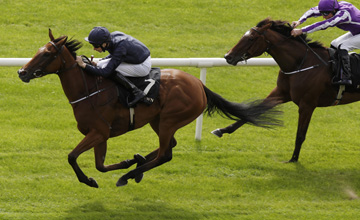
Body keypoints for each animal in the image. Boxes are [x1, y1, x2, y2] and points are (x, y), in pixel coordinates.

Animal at [17, 29, 282, 187]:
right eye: (37, 51)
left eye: (47, 54)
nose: (22, 72)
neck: (88, 89)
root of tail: (198, 84)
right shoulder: (100, 134)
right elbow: (100, 165)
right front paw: (127, 161)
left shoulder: (98, 132)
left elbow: (72, 157)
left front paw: (90, 180)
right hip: (159, 120)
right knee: (169, 146)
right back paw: (138, 163)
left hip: (169, 120)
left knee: (166, 153)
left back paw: (129, 175)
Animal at [212, 18, 360, 162]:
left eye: (251, 38)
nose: (228, 56)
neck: (300, 64)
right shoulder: (280, 94)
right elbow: (252, 112)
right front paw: (221, 130)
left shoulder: (307, 104)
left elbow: (300, 135)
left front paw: (293, 159)